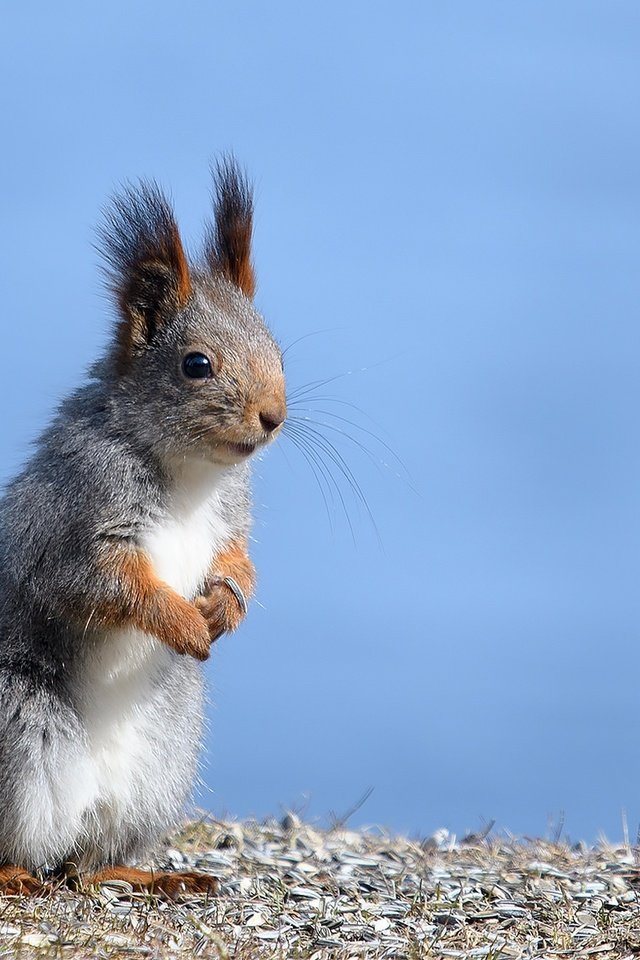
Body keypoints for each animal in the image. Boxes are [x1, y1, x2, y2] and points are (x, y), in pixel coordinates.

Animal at [0, 159, 286, 900]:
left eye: (274, 343)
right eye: (196, 364)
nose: (274, 416)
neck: (189, 473)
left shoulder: (229, 518)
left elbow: (238, 561)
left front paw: (227, 605)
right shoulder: (73, 517)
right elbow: (102, 584)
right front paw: (181, 620)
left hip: (163, 759)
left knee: (87, 863)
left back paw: (149, 873)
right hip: (20, 730)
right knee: (26, 846)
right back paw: (16, 873)